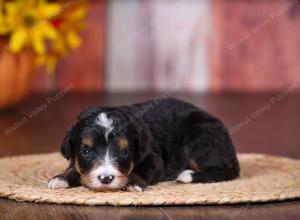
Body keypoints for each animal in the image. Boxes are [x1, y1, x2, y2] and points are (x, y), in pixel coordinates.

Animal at [48, 97, 239, 192]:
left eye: (124, 152)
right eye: (86, 151)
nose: (106, 179)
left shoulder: (153, 157)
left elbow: (143, 169)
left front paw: (133, 183)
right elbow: (74, 166)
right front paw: (61, 178)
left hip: (199, 137)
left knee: (222, 170)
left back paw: (187, 174)